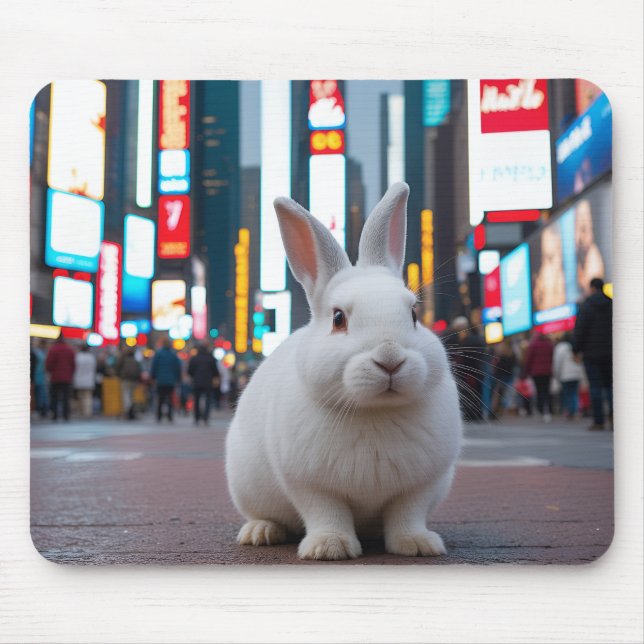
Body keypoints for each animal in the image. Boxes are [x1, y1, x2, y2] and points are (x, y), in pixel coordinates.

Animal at [225, 182, 462, 560]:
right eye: (338, 319)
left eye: (413, 314)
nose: (390, 357)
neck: (374, 412)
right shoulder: (310, 485)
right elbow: (326, 513)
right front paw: (328, 548)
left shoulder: (421, 486)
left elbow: (407, 514)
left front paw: (417, 545)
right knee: (267, 515)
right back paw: (260, 532)